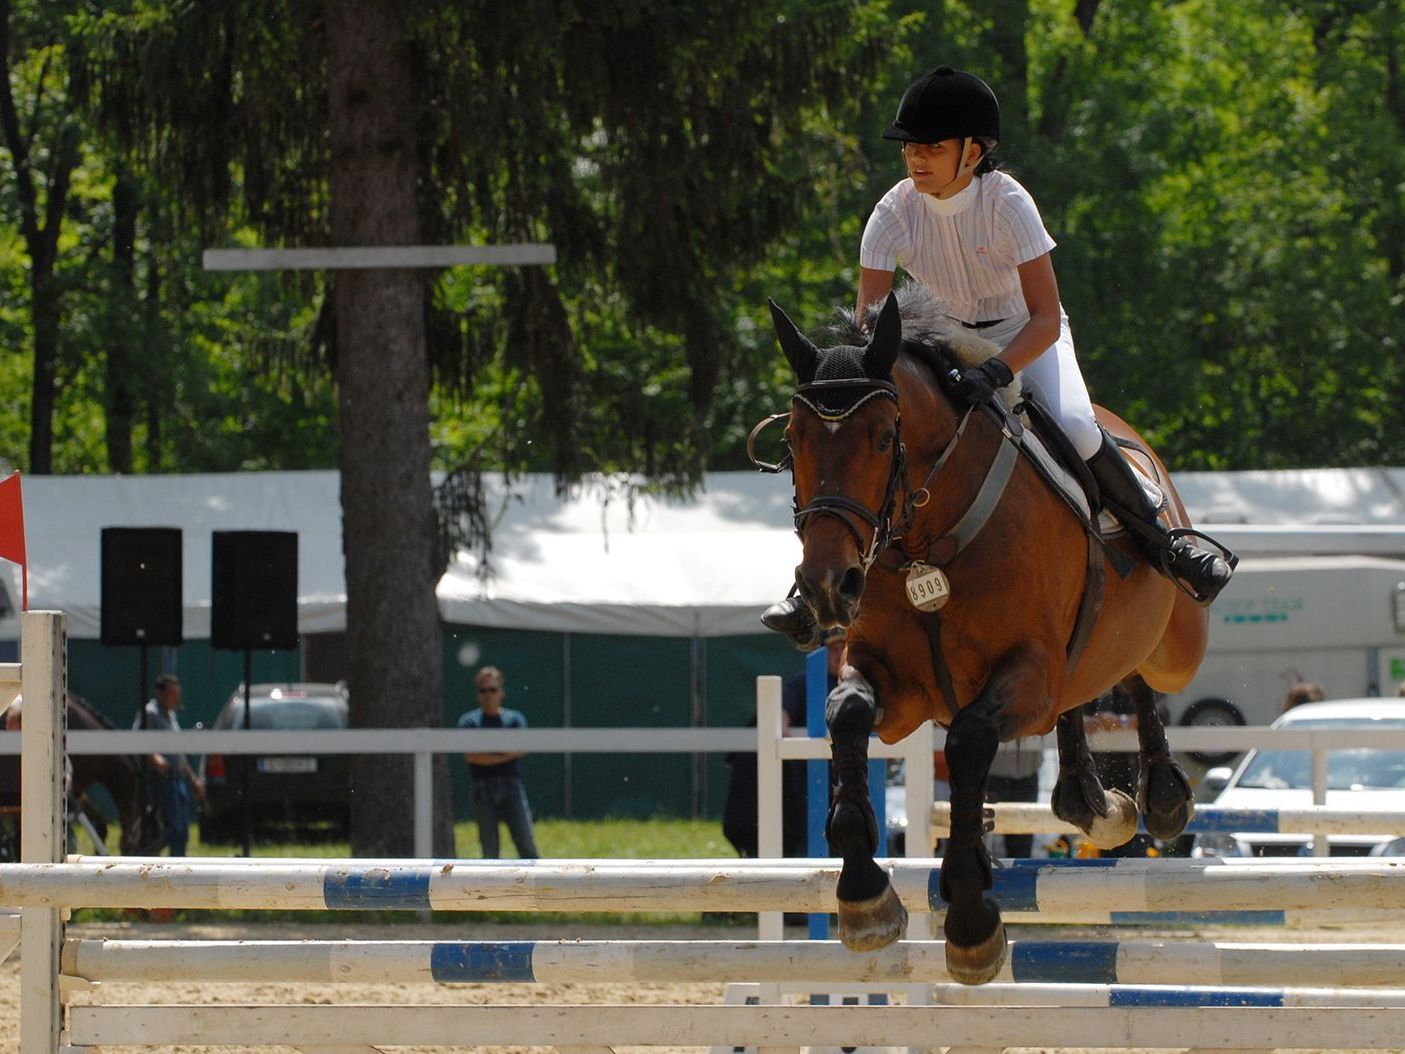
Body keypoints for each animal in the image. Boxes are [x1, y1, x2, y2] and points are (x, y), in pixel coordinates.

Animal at [758, 285, 1208, 989]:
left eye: (883, 437)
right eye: (793, 439)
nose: (830, 586)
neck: (926, 542)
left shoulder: (1026, 673)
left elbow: (969, 742)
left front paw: (971, 922)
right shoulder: (896, 688)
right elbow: (846, 713)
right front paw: (864, 897)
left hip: (1177, 645)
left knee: (1143, 676)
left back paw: (1160, 794)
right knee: (1086, 692)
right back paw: (1089, 799)